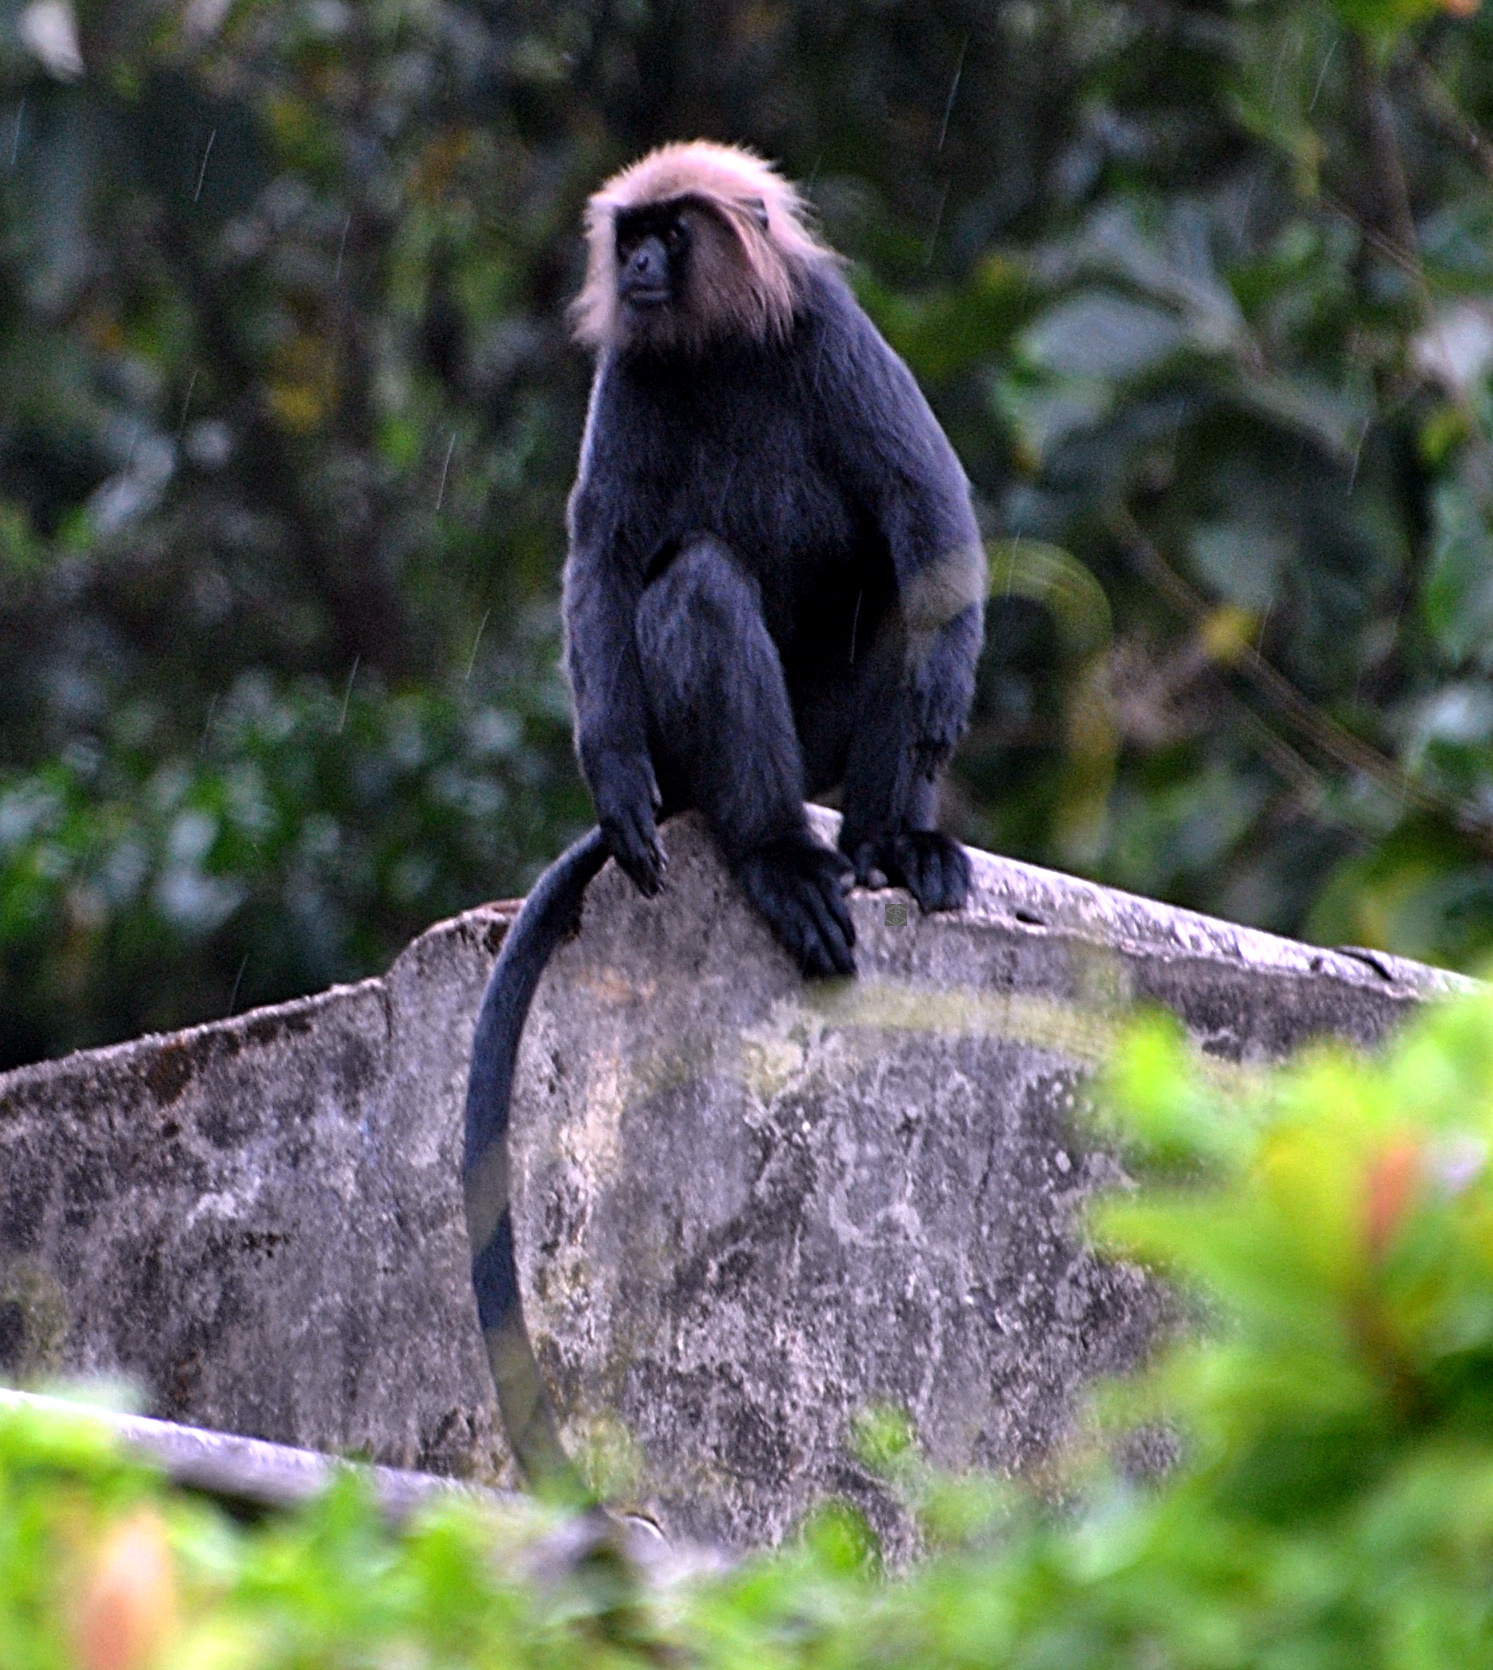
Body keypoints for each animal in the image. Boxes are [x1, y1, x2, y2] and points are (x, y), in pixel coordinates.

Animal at [460, 140, 988, 1476]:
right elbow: (605, 560)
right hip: (710, 748)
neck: (714, 350)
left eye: (674, 232)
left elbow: (930, 513)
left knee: (893, 590)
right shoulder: (632, 376)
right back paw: (777, 858)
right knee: (696, 582)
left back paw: (894, 842)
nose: (641, 265)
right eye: (631, 234)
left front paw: (942, 709)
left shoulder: (829, 332)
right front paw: (614, 781)